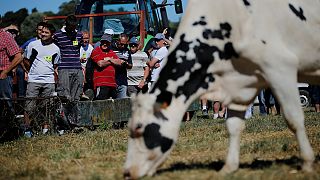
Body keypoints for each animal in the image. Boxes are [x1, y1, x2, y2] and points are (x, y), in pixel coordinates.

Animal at [124, 0, 318, 179]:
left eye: (139, 128)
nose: (127, 172)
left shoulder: (280, 67)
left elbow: (294, 118)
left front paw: (307, 163)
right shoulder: (238, 86)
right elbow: (233, 125)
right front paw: (229, 167)